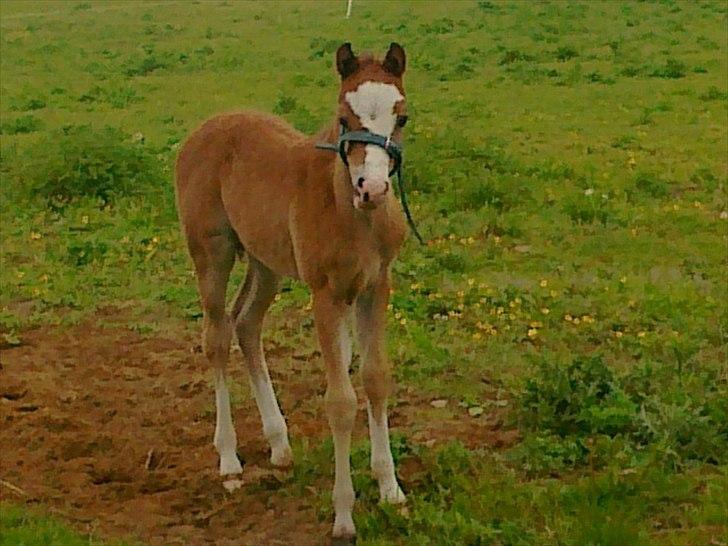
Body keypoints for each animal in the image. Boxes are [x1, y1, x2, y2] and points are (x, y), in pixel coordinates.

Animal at [175, 42, 410, 545]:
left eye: (401, 117)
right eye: (343, 117)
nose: (373, 188)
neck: (351, 212)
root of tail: (207, 126)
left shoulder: (376, 286)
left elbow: (376, 379)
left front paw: (391, 490)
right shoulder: (325, 294)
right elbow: (340, 401)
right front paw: (343, 517)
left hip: (265, 263)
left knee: (246, 323)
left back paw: (279, 444)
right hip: (212, 253)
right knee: (217, 337)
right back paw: (229, 460)